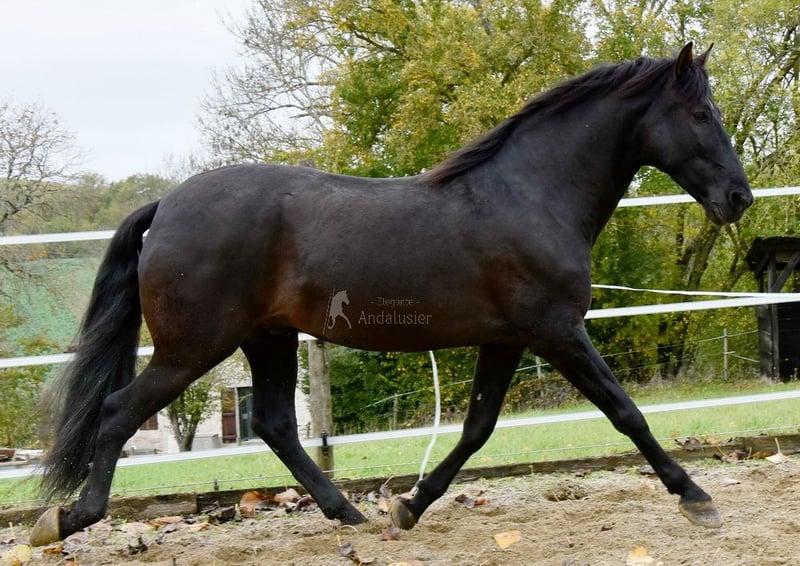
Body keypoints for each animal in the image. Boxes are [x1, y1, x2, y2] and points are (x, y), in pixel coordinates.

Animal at [31, 43, 752, 545]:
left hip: (268, 338)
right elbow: (626, 414)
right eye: (699, 113)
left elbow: (478, 429)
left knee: (275, 425)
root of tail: (168, 206)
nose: (739, 198)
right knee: (120, 411)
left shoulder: (508, 339)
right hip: (194, 348)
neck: (529, 195)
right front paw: (698, 500)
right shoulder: (557, 331)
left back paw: (351, 514)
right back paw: (66, 519)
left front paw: (407, 506)